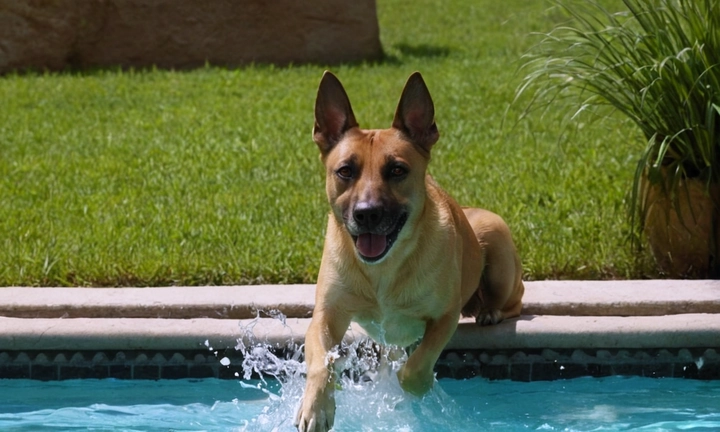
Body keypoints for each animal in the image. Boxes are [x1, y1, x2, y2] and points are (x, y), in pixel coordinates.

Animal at [292, 71, 524, 432]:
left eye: (397, 170)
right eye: (345, 171)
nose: (367, 213)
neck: (384, 269)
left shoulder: (445, 316)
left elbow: (414, 369)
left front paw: (419, 388)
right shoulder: (326, 315)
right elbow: (321, 361)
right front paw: (317, 405)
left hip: (496, 243)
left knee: (514, 299)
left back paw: (491, 311)